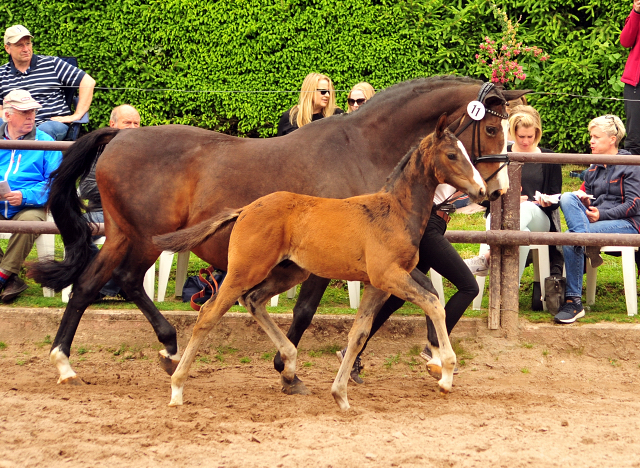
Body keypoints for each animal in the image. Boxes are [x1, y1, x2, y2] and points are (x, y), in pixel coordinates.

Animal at [154, 115, 484, 412]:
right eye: (452, 154)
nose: (482, 191)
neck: (395, 211)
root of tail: (246, 208)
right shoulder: (388, 276)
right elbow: (433, 303)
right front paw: (446, 374)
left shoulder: (378, 284)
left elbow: (358, 334)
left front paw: (341, 395)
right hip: (244, 271)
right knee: (209, 314)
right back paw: (177, 387)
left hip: (291, 272)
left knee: (254, 300)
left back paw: (289, 366)